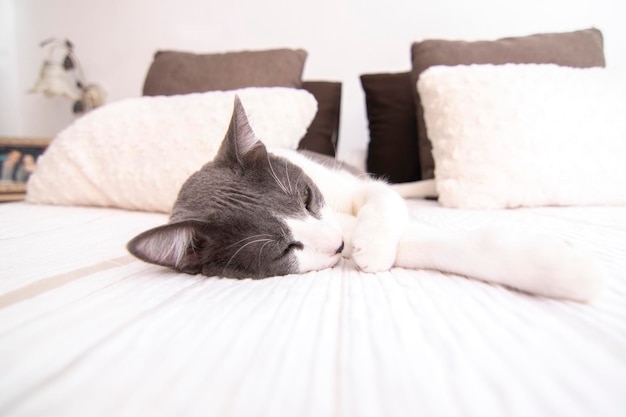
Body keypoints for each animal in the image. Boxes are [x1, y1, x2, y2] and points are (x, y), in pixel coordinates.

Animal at [128, 96, 600, 300]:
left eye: (306, 198)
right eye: (285, 249)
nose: (339, 245)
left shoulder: (350, 186)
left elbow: (382, 196)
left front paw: (372, 244)